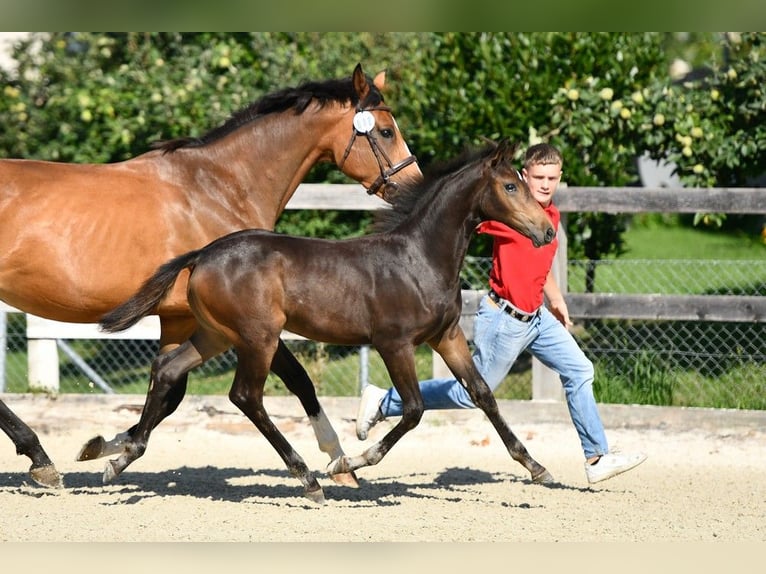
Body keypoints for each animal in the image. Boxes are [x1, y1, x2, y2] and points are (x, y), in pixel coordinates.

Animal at [0, 63, 421, 489]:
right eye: (386, 130)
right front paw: (340, 464)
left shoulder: (179, 318)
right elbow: (298, 379)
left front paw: (107, 446)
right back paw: (40, 459)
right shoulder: (251, 324)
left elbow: (168, 390)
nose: (413, 185)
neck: (218, 186)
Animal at [96, 138, 557, 503]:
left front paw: (537, 467)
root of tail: (203, 254)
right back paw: (308, 479)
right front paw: (351, 461)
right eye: (510, 186)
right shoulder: (394, 343)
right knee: (246, 396)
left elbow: (482, 394)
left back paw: (121, 457)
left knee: (168, 369)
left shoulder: (446, 337)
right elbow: (413, 409)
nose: (547, 232)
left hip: (215, 335)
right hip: (258, 337)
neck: (418, 258)